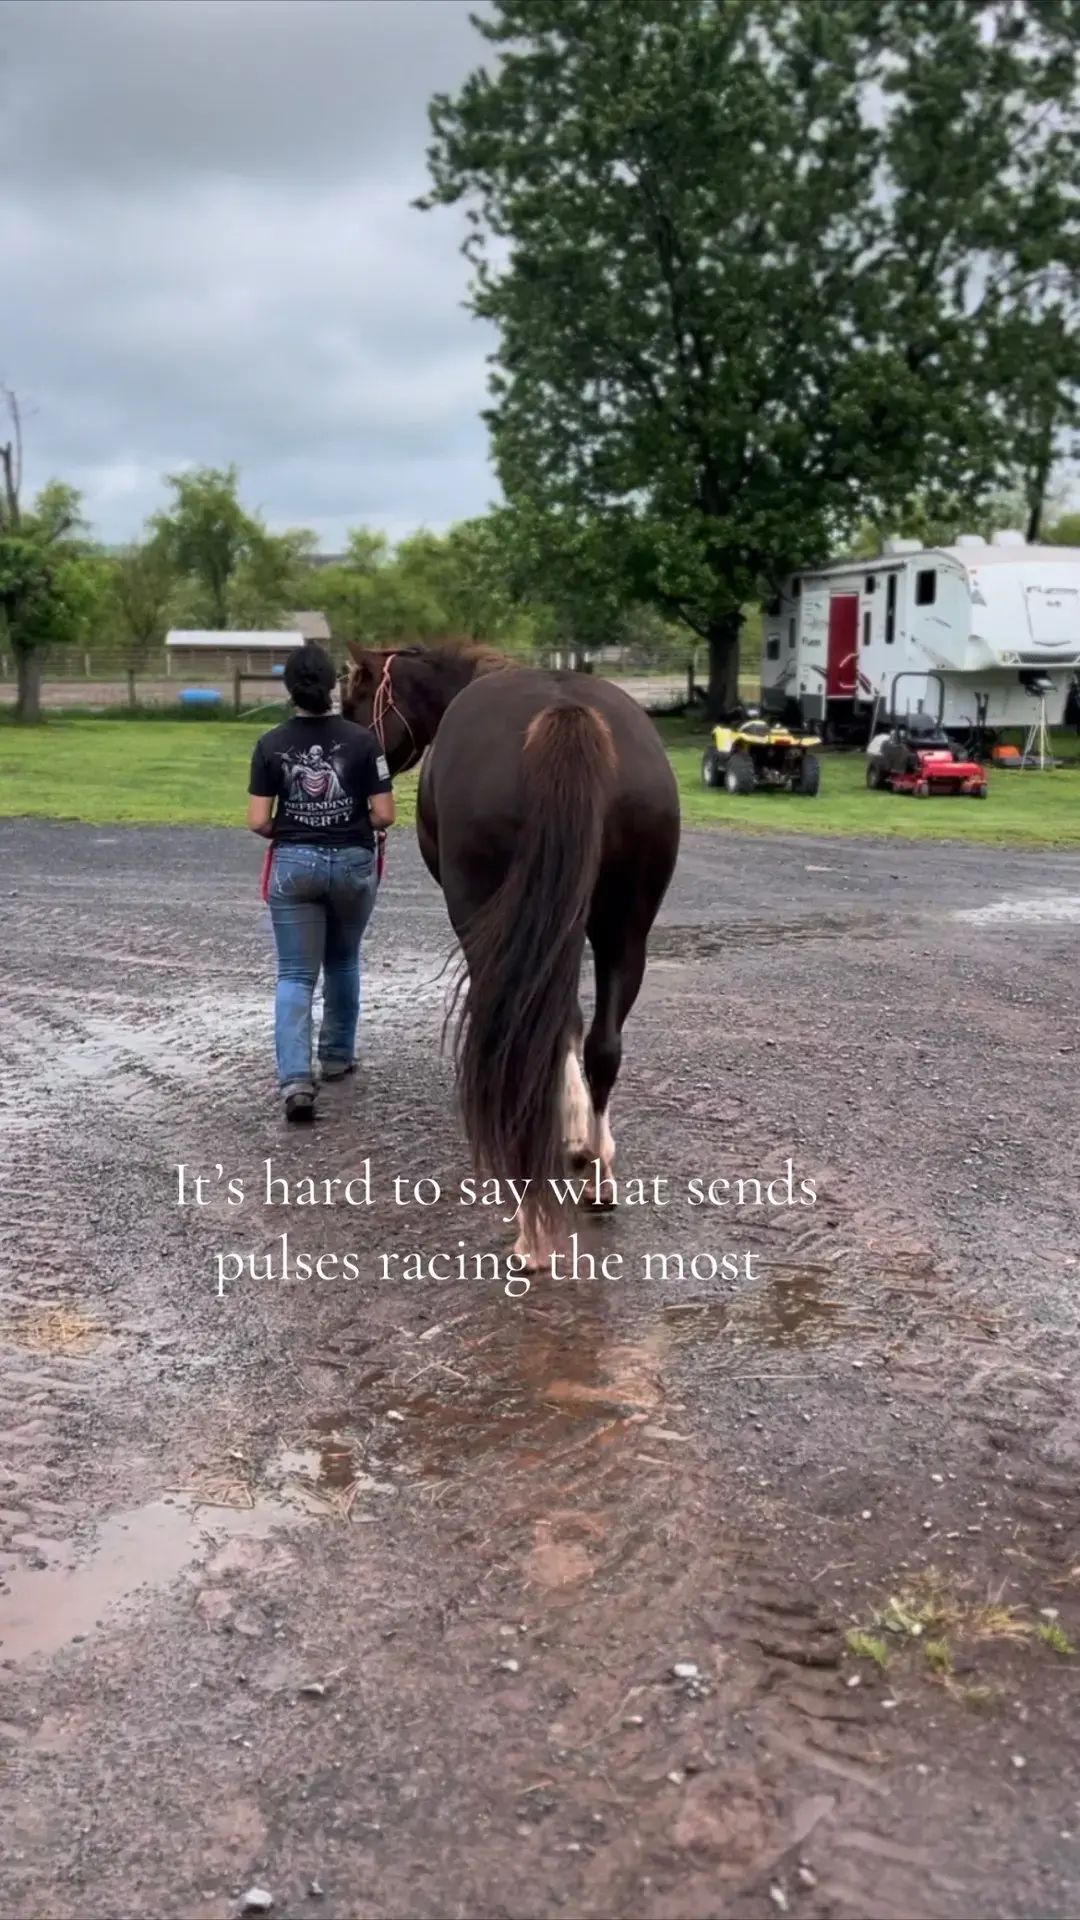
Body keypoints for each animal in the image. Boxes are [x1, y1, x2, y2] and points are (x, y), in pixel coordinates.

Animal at [340, 645, 676, 1274]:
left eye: (353, 701)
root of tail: (565, 713)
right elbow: (574, 1026)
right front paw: (577, 1140)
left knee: (517, 1045)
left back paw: (532, 1226)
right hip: (624, 930)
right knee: (602, 1044)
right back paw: (598, 1176)